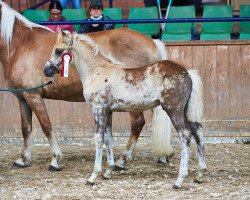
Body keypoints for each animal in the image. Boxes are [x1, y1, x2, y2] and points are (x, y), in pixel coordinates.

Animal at [0, 0, 172, 171]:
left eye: (59, 51)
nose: (46, 69)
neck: (21, 44)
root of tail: (153, 42)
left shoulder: (34, 96)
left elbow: (46, 126)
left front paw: (55, 159)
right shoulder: (22, 97)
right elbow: (26, 128)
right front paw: (22, 159)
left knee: (137, 123)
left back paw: (121, 161)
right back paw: (163, 156)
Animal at [43, 30, 207, 189]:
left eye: (58, 50)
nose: (46, 70)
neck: (96, 71)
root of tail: (187, 73)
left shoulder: (98, 110)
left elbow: (98, 139)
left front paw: (93, 177)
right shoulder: (108, 112)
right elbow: (108, 139)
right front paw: (108, 172)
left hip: (174, 111)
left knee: (185, 136)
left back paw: (179, 180)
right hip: (187, 113)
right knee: (198, 132)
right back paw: (199, 175)